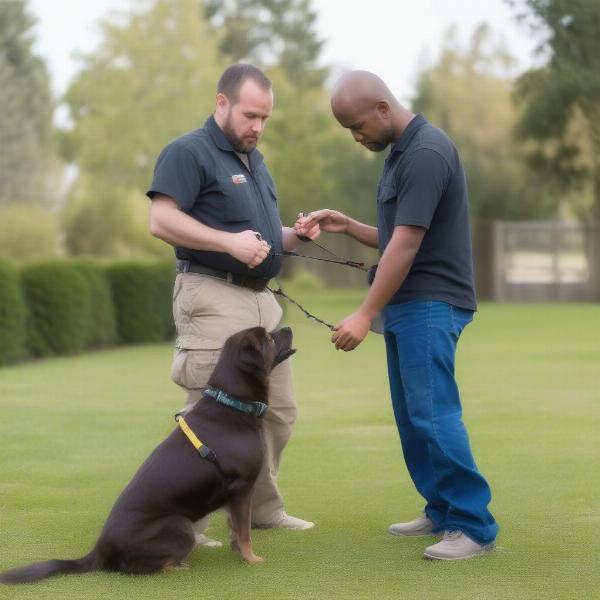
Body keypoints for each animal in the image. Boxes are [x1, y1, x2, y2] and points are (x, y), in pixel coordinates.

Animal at [1, 326, 296, 584]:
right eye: (269, 337)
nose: (289, 327)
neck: (232, 404)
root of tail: (98, 551)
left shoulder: (237, 495)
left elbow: (237, 528)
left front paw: (239, 553)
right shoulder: (242, 488)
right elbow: (245, 532)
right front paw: (251, 558)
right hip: (180, 524)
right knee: (141, 567)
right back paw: (179, 565)